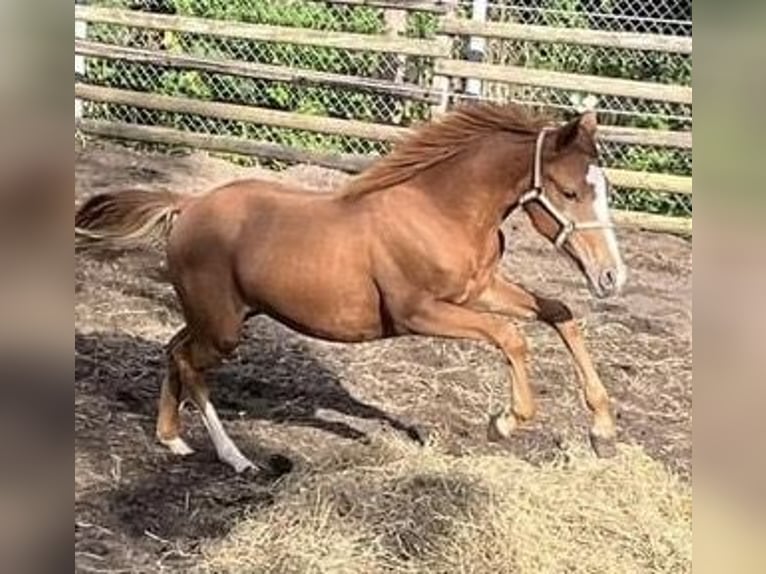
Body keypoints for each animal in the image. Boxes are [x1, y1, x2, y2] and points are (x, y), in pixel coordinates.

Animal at [76, 102, 632, 472]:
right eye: (569, 192)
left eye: (602, 188)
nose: (611, 276)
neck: (438, 211)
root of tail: (186, 205)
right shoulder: (419, 312)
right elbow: (510, 337)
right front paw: (505, 422)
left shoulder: (479, 289)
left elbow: (559, 312)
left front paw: (603, 433)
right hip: (223, 328)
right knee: (190, 364)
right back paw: (237, 459)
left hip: (222, 315)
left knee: (173, 349)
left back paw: (172, 440)